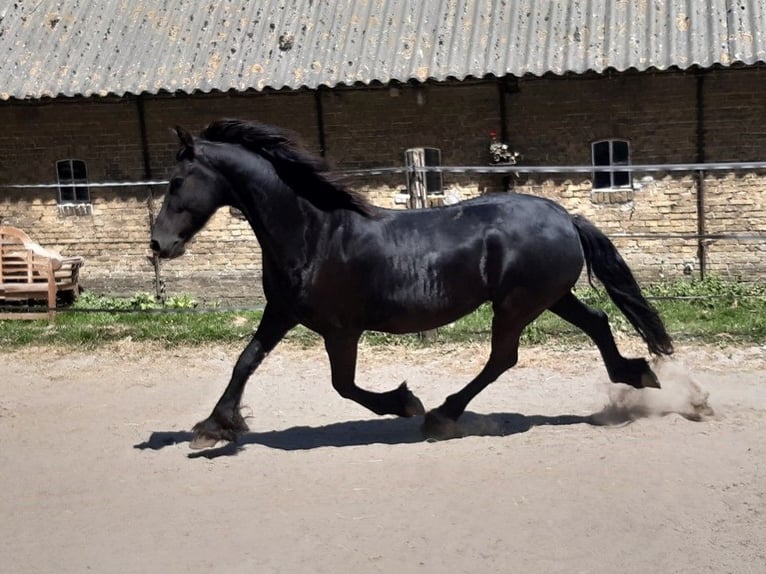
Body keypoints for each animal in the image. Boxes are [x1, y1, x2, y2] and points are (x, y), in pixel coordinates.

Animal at [150, 119, 672, 448]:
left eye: (176, 182)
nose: (158, 244)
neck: (314, 232)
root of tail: (565, 216)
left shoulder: (340, 329)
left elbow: (344, 384)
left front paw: (405, 402)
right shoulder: (281, 312)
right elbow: (245, 361)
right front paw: (213, 427)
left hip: (517, 305)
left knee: (503, 357)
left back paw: (441, 415)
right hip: (550, 297)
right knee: (597, 321)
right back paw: (638, 374)